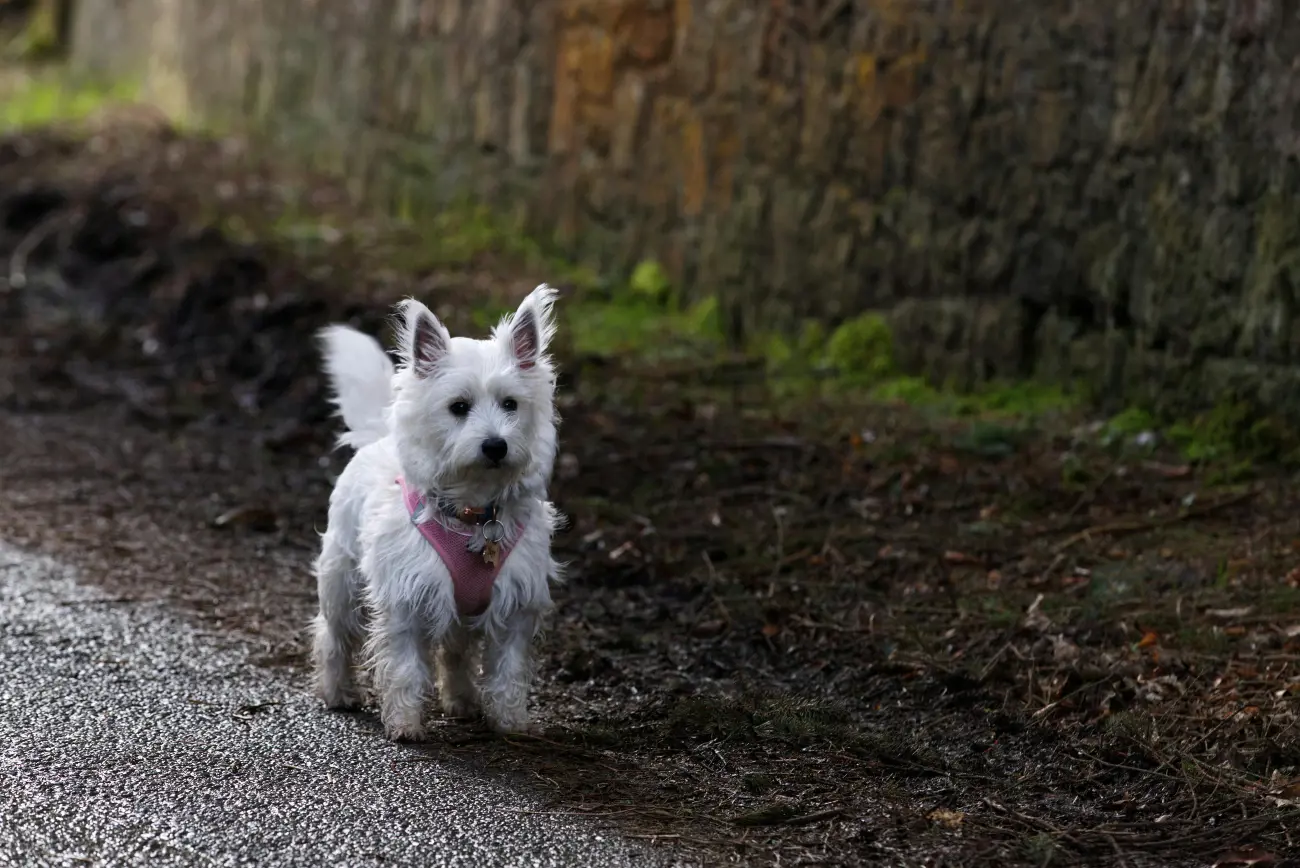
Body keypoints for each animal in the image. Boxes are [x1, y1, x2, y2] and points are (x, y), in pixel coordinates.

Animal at [313, 284, 564, 738]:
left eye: (511, 404)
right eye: (459, 407)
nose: (495, 445)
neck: (474, 514)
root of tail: (376, 439)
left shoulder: (516, 603)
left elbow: (508, 669)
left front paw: (511, 722)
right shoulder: (405, 601)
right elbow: (405, 668)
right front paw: (406, 725)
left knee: (455, 652)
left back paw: (462, 700)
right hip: (341, 580)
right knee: (333, 636)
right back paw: (336, 691)